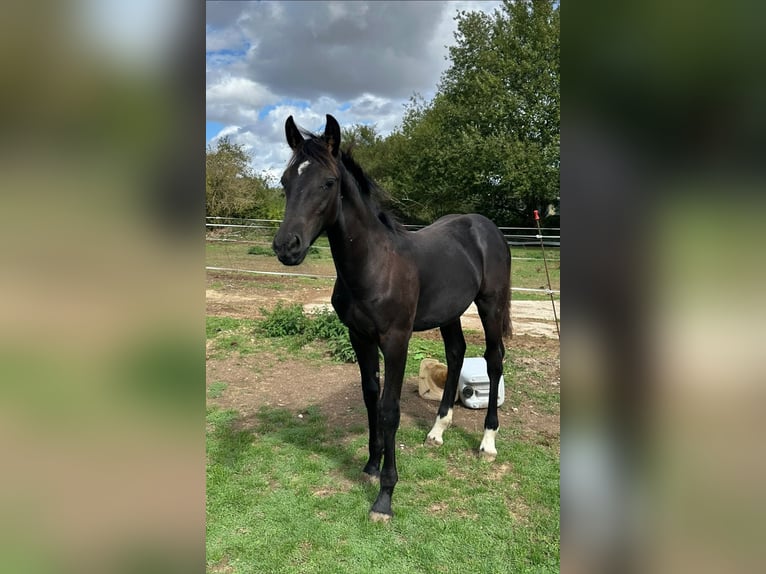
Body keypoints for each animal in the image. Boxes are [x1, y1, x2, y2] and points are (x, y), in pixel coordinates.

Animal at [272, 114, 512, 522]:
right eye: (286, 181)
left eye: (328, 182)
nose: (286, 246)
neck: (374, 265)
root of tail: (486, 228)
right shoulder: (359, 336)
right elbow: (371, 395)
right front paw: (371, 464)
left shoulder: (396, 339)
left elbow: (389, 409)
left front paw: (385, 496)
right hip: (450, 312)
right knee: (456, 353)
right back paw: (437, 431)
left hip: (490, 305)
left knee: (494, 360)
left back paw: (488, 441)